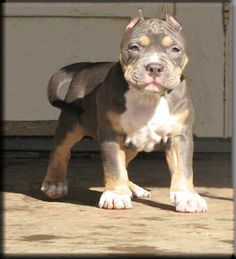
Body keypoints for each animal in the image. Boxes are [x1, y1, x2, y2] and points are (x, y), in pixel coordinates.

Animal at [41, 10, 207, 213]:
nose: (155, 67)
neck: (149, 98)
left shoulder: (179, 136)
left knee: (125, 164)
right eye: (134, 47)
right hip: (71, 123)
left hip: (132, 146)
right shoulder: (112, 136)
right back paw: (54, 183)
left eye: (175, 49)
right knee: (60, 150)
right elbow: (114, 167)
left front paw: (187, 197)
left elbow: (183, 169)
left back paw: (135, 189)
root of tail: (89, 66)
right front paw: (116, 195)